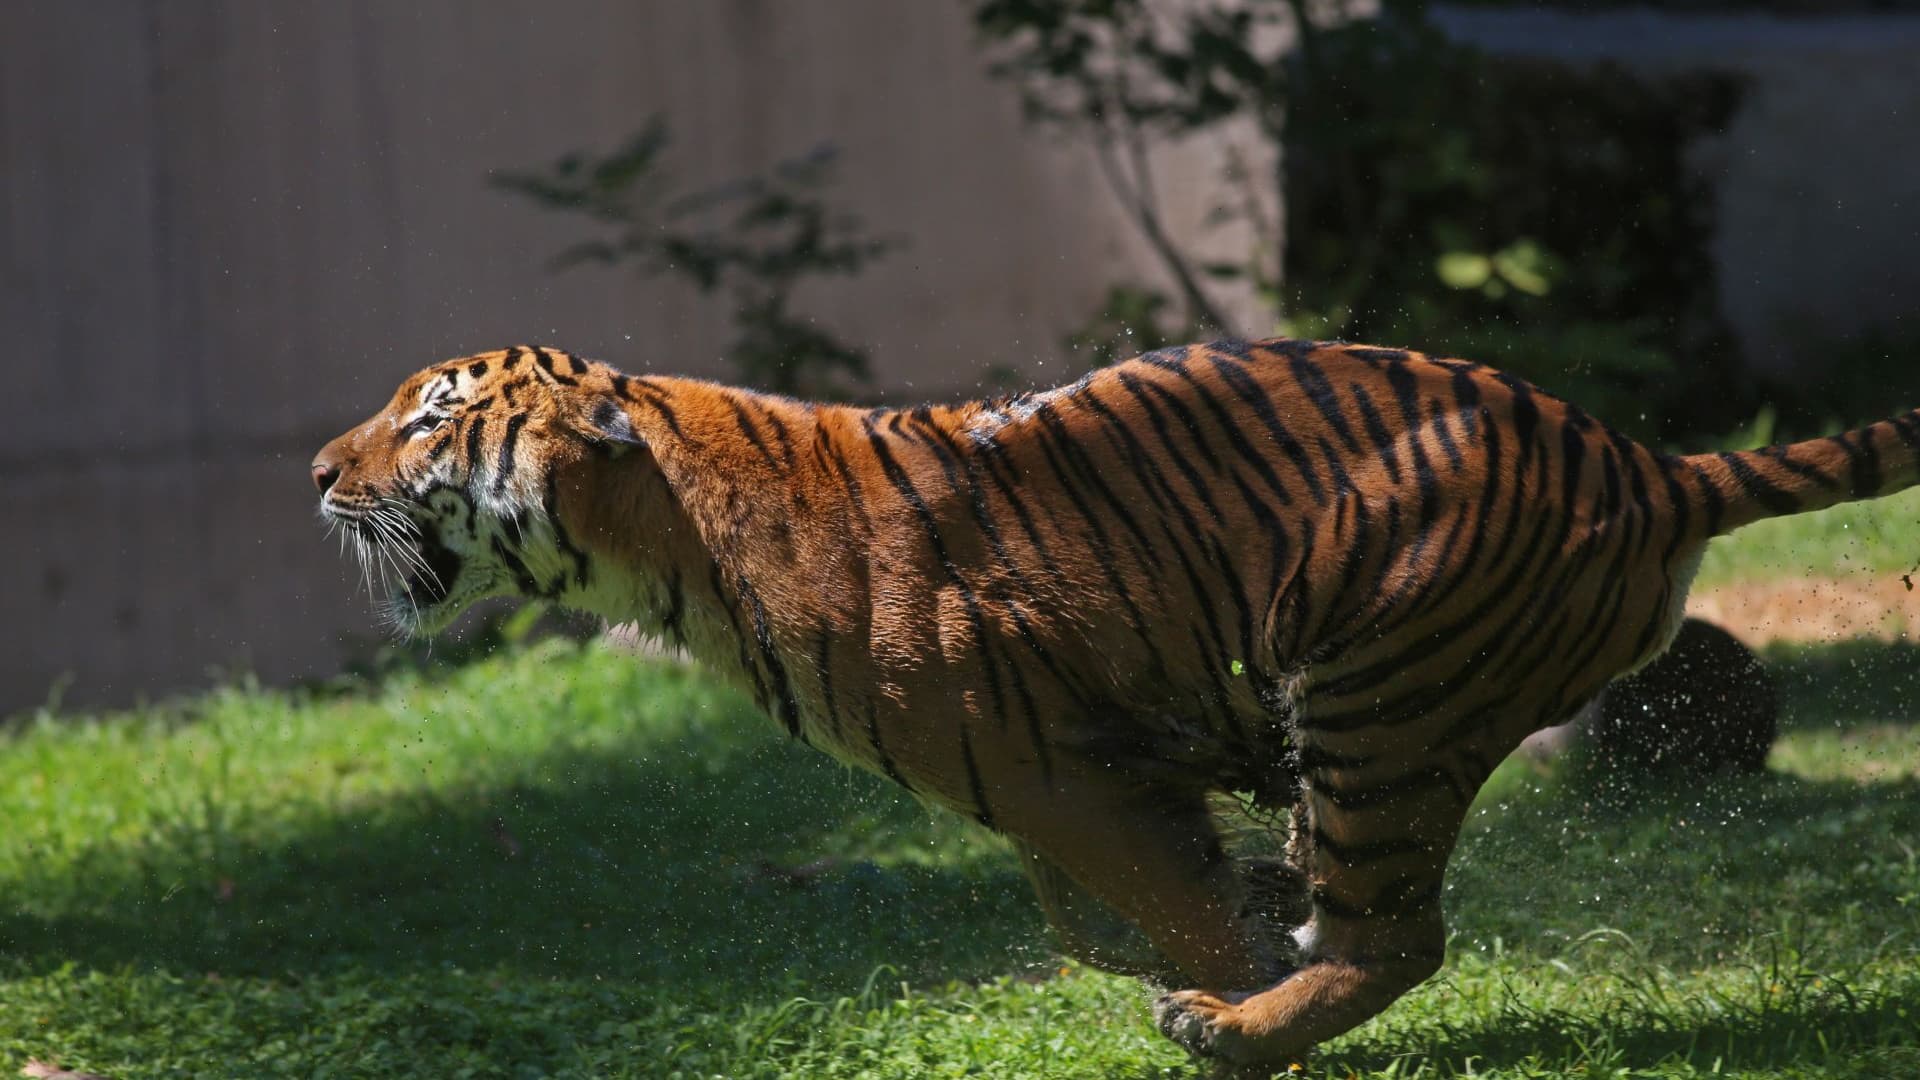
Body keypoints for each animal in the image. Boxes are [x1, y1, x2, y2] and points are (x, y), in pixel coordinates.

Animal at [311, 339, 1919, 1068]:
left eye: (428, 420)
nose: (318, 470)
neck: (664, 539)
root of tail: (1651, 466)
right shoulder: (1058, 776)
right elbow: (1094, 915)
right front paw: (1260, 895)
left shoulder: (1050, 767)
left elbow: (1163, 908)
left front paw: (1236, 967)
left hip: (1379, 692)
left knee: (1404, 933)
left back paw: (1238, 1031)